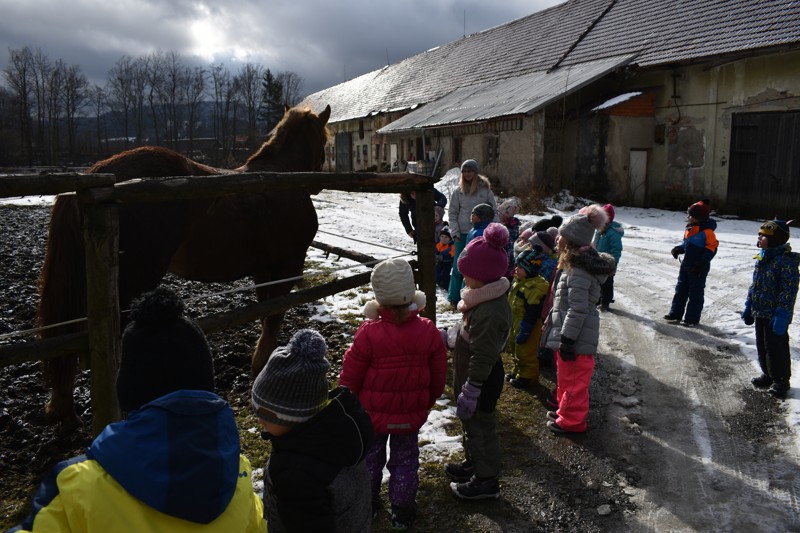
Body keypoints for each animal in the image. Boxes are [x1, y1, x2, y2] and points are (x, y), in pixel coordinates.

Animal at [36, 103, 332, 428]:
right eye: (325, 142)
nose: (320, 182)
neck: (280, 179)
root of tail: (97, 174)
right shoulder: (287, 265)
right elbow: (274, 318)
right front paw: (260, 366)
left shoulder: (264, 270)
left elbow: (266, 315)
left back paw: (62, 406)